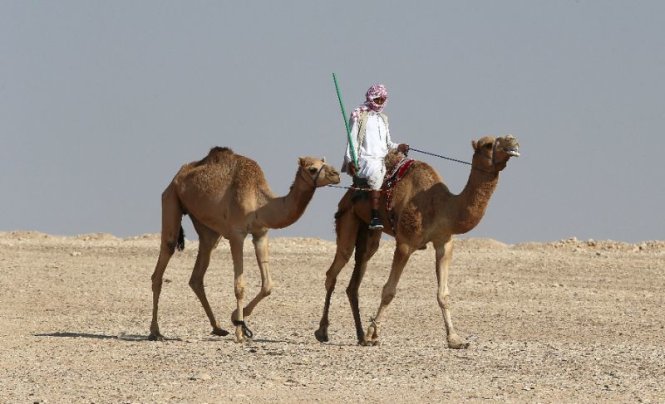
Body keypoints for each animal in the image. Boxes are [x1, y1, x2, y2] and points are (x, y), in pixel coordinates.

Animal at [148, 147, 340, 342]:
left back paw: (217, 328)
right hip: (171, 198)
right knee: (165, 255)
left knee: (198, 272)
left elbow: (267, 286)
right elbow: (239, 286)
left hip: (207, 228)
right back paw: (155, 331)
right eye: (312, 169)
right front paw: (240, 332)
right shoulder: (237, 234)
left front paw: (235, 317)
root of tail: (179, 175)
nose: (336, 174)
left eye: (324, 162)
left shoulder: (261, 233)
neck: (260, 203)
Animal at [312, 135, 520, 348]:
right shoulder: (405, 243)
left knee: (355, 280)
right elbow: (389, 291)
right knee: (334, 270)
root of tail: (349, 192)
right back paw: (323, 331)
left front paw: (455, 339)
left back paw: (360, 336)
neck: (441, 205)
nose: (513, 141)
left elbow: (443, 294)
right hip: (348, 218)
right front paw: (373, 333)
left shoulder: (444, 242)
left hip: (369, 234)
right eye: (488, 144)